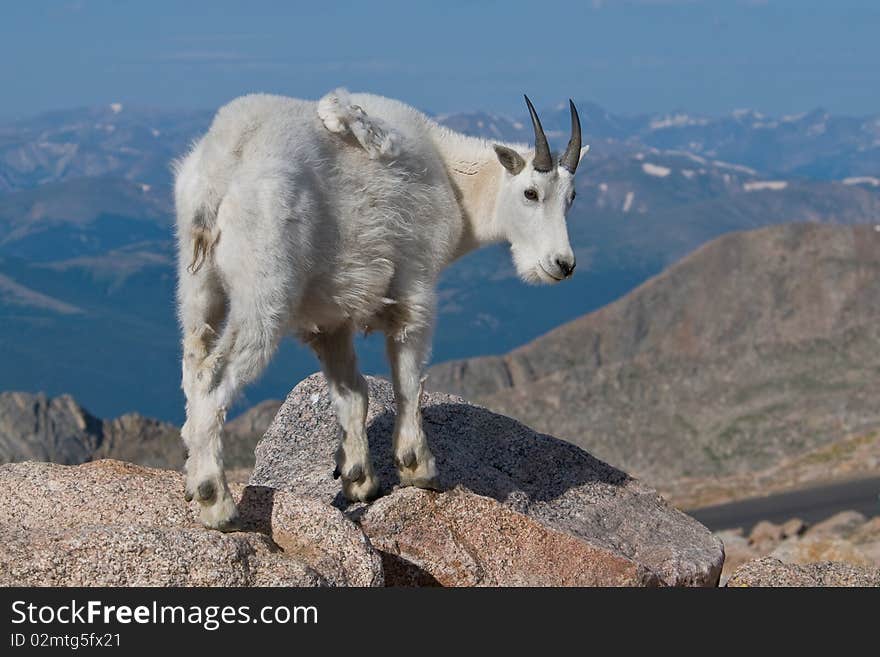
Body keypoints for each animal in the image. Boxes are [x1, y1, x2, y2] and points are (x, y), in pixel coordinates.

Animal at [174, 88, 588, 528]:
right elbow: (408, 380)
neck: (451, 176)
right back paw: (216, 502)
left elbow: (352, 393)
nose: (562, 264)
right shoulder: (416, 287)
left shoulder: (330, 318)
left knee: (193, 365)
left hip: (197, 288)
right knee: (212, 379)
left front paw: (359, 480)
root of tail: (223, 164)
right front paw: (418, 467)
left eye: (572, 198)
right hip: (263, 294)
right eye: (531, 193)